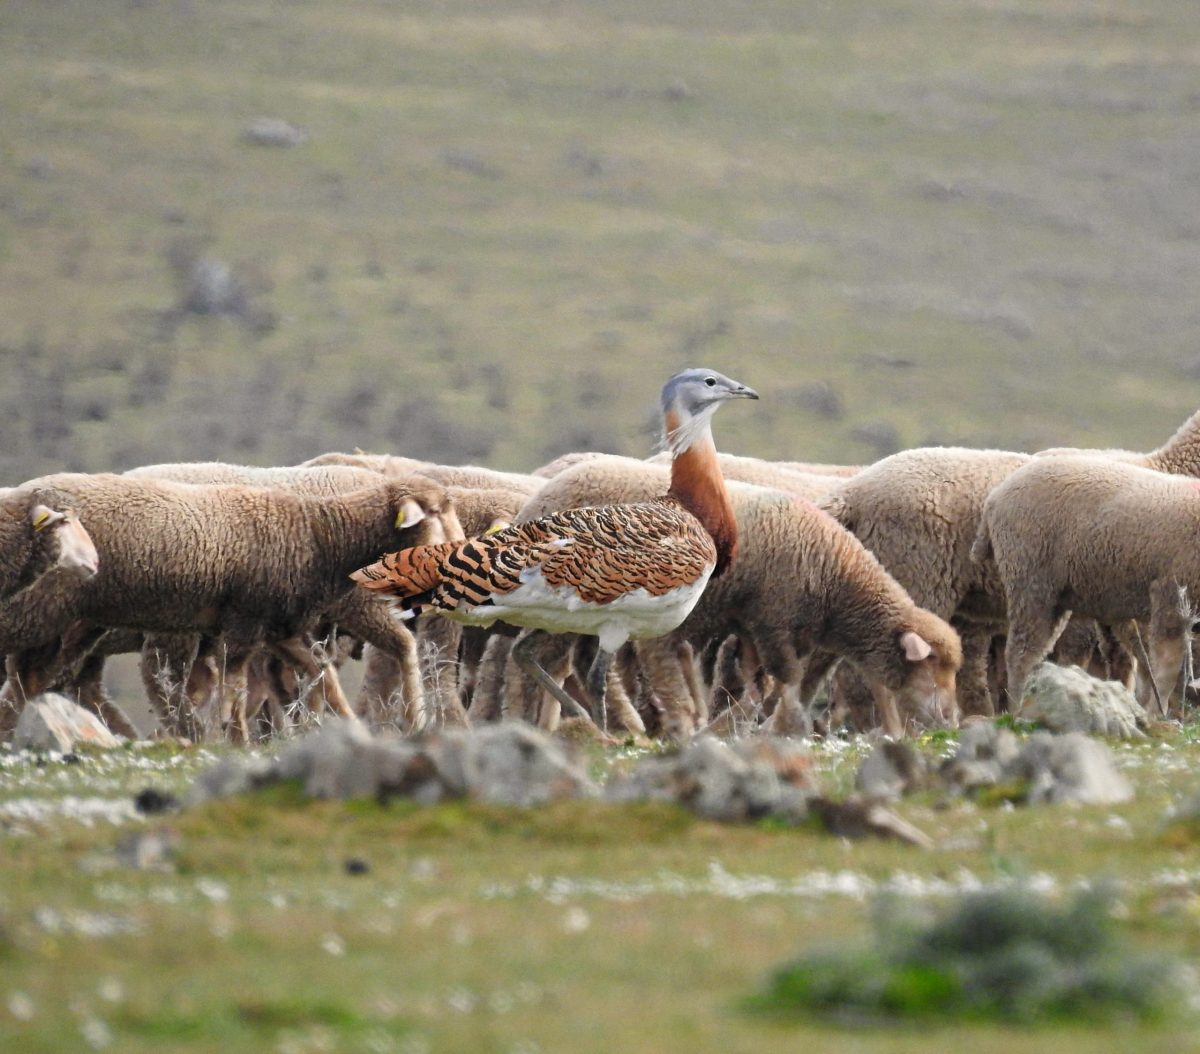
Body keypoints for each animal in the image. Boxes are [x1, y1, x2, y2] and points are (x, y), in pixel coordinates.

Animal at [974, 458, 1200, 715]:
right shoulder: (1169, 592)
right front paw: (1157, 712)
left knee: (1033, 652)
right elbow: (1168, 667)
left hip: (1055, 598)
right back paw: (1019, 707)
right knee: (1020, 655)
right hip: (1030, 581)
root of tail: (994, 498)